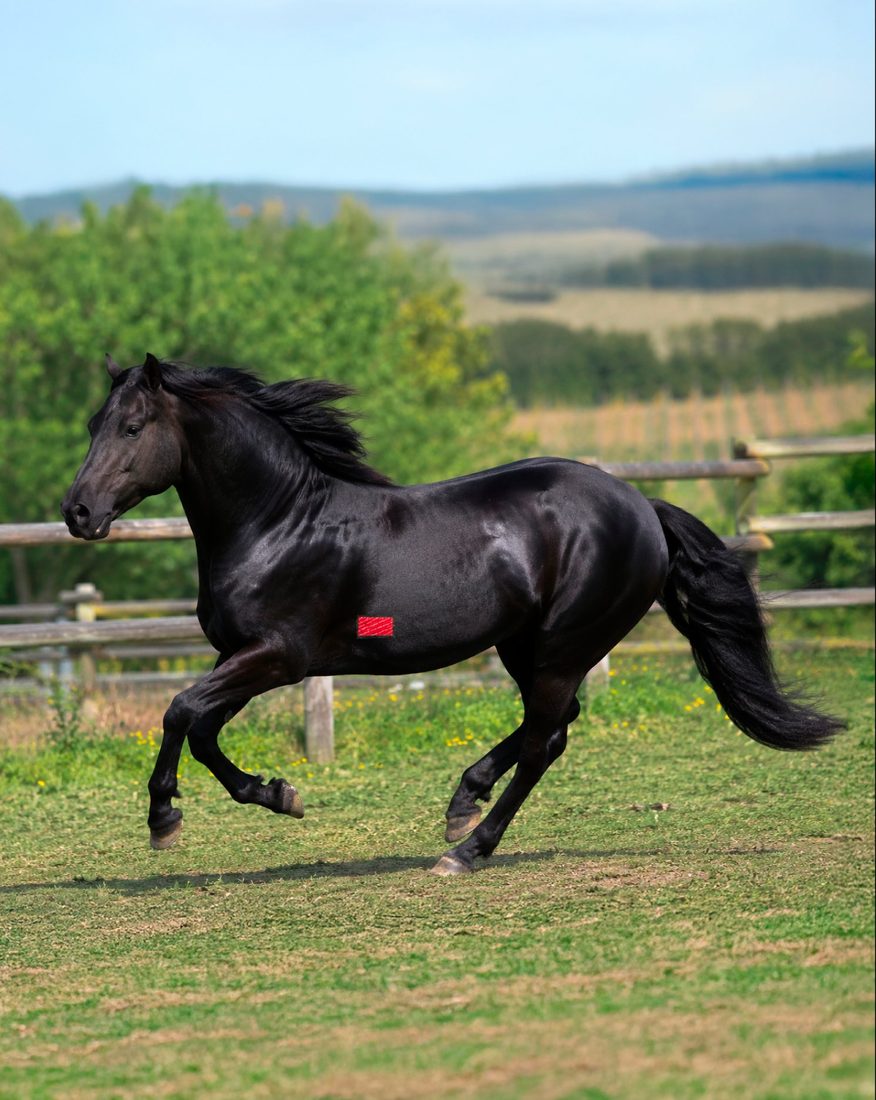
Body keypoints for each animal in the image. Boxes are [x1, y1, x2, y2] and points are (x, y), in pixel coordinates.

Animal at [61, 354, 842, 875]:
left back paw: (467, 849)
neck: (280, 522)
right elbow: (201, 728)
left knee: (543, 740)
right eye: (94, 422)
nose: (77, 512)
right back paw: (461, 802)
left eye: (132, 427)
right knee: (555, 727)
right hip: (525, 646)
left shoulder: (280, 656)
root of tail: (641, 507)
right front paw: (279, 794)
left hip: (563, 644)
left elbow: (181, 711)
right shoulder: (242, 656)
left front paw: (165, 819)